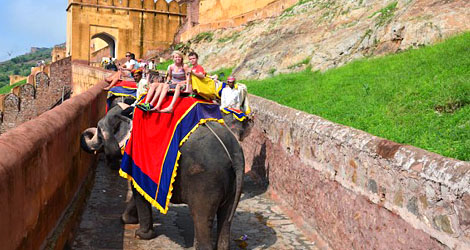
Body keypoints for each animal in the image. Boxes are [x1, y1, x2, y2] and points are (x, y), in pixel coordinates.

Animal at [81, 100, 252, 249]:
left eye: (100, 132)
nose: (89, 133)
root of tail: (235, 155)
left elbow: (137, 191)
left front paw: (139, 234)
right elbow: (139, 190)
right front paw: (128, 220)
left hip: (205, 181)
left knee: (201, 216)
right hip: (233, 183)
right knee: (226, 217)